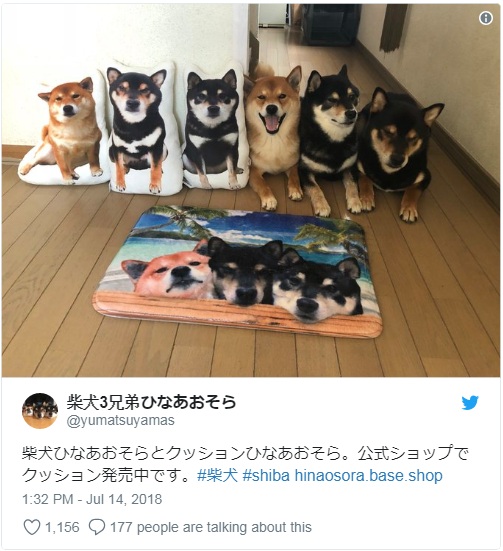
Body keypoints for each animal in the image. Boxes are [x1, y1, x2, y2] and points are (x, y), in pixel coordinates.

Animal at [243, 64, 303, 211]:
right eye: (261, 97)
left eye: (282, 96)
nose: (271, 108)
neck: (274, 140)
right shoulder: (253, 170)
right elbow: (263, 185)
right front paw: (269, 199)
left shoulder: (294, 164)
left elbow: (295, 176)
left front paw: (295, 190)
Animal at [298, 65, 360, 217]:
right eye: (331, 100)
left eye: (352, 97)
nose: (352, 113)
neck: (333, 140)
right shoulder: (303, 169)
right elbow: (315, 188)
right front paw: (322, 206)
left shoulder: (351, 166)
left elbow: (352, 184)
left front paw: (355, 202)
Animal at [356, 87, 444, 222]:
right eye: (388, 132)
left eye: (413, 138)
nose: (398, 159)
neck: (389, 172)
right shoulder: (358, 166)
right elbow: (364, 179)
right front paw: (366, 198)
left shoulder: (425, 176)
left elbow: (413, 190)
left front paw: (409, 208)